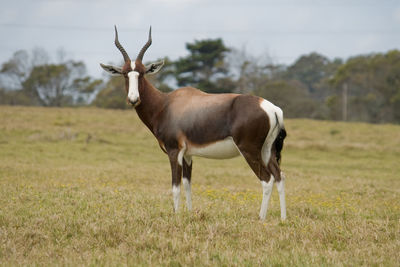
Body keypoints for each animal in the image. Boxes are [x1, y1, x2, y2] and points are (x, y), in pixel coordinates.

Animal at [101, 26, 288, 221]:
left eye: (143, 72)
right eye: (125, 74)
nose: (133, 99)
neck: (166, 104)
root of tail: (272, 108)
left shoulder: (174, 152)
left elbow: (175, 187)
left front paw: (176, 216)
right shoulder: (188, 154)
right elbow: (187, 184)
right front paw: (190, 214)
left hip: (250, 150)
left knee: (267, 179)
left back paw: (261, 218)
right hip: (267, 150)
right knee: (279, 176)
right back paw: (283, 218)